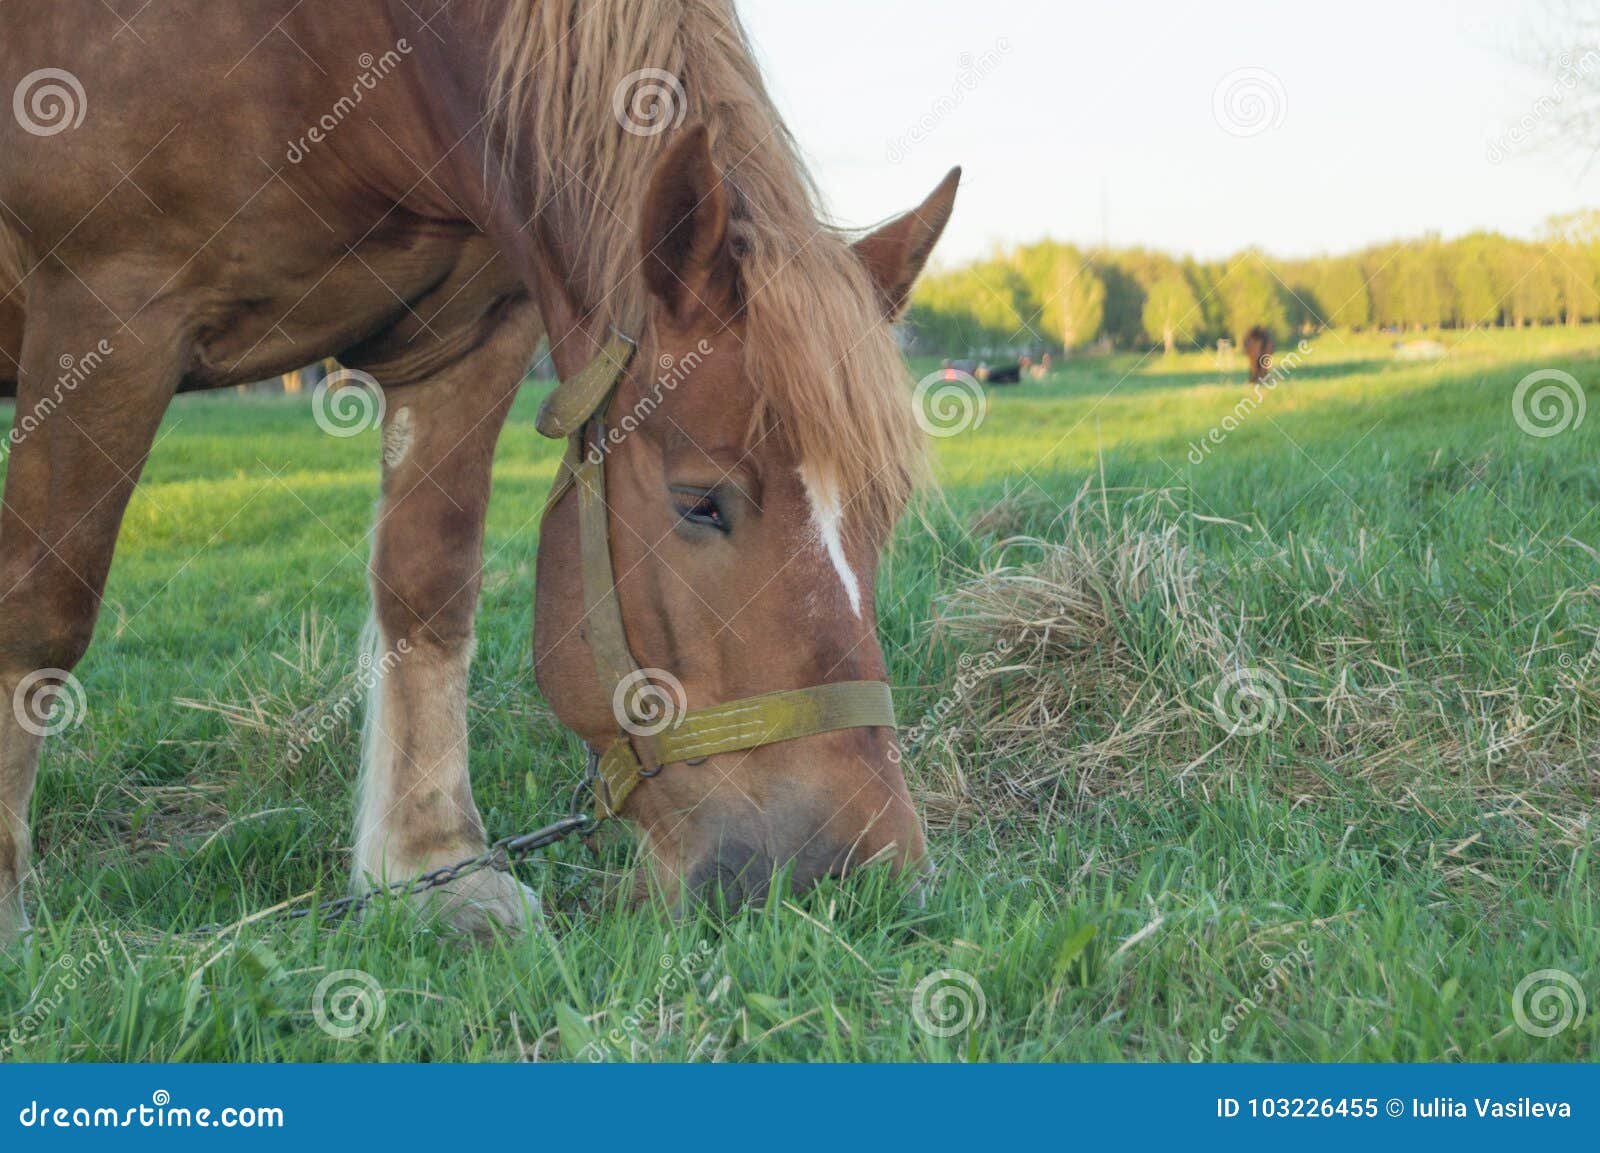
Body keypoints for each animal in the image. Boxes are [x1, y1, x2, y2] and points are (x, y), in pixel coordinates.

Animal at [0, 0, 960, 942]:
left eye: (883, 511)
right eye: (700, 503)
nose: (858, 873)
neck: (339, 43)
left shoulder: (470, 333)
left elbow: (429, 588)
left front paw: (436, 868)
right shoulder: (108, 309)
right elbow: (44, 609)